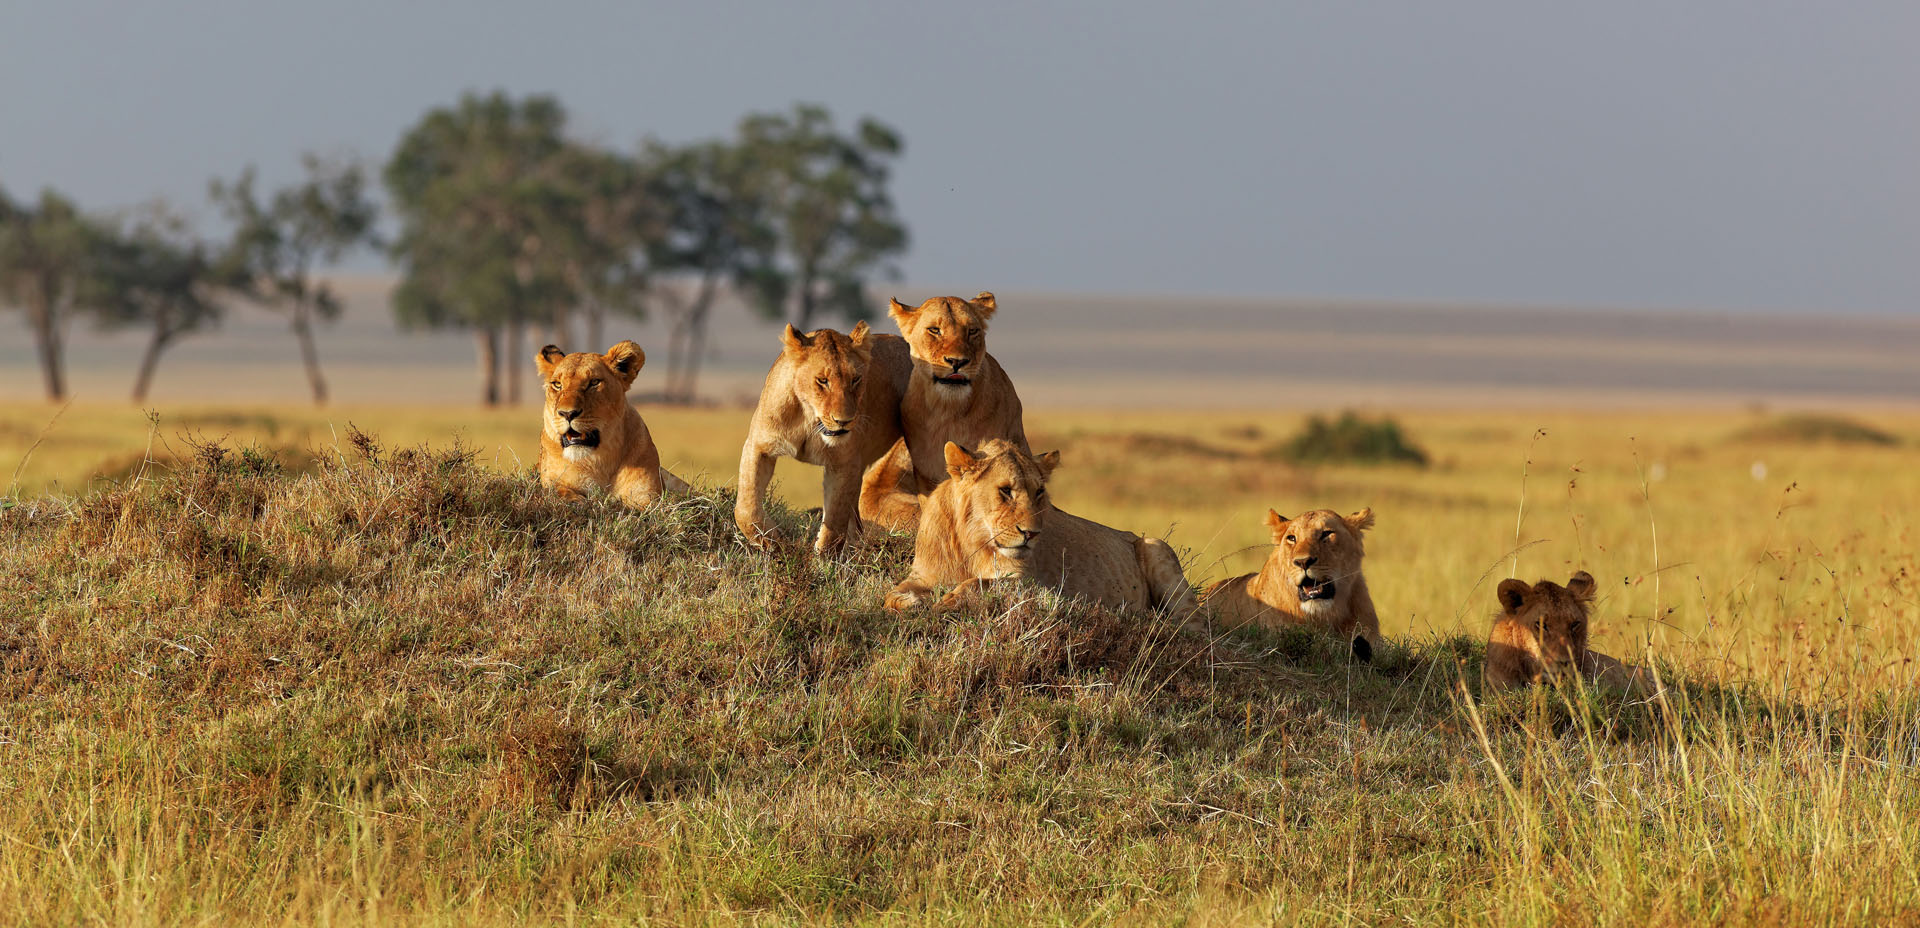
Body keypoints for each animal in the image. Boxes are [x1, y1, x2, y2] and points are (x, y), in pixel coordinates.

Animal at [535, 341, 689, 506]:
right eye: (557, 384)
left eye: (594, 382)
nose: (567, 413)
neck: (600, 462)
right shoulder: (552, 482)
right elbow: (559, 492)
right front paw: (579, 501)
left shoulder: (647, 495)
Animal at [735, 321, 915, 553]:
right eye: (822, 380)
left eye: (856, 379)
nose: (844, 420)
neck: (809, 420)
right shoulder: (759, 446)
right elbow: (746, 507)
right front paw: (770, 541)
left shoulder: (844, 463)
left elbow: (835, 522)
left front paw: (823, 557)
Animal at [882, 440, 1198, 618]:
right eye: (1005, 491)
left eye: (1039, 492)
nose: (1031, 534)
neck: (971, 543)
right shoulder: (922, 575)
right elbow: (891, 595)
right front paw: (912, 602)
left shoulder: (1030, 583)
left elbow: (979, 584)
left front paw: (948, 601)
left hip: (1157, 547)